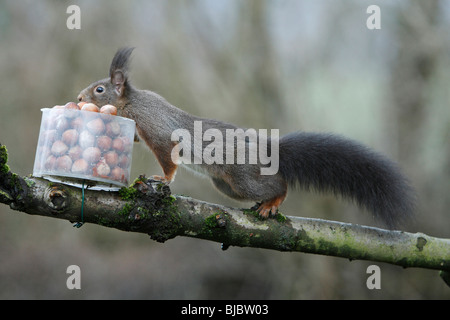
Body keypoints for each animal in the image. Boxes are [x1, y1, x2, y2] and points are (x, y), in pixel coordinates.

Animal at [77, 47, 414, 228]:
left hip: (243, 178)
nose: (78, 98)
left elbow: (167, 159)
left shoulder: (156, 128)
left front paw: (162, 179)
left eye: (99, 89)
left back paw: (273, 203)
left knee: (279, 184)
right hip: (227, 186)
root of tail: (267, 150)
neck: (132, 103)